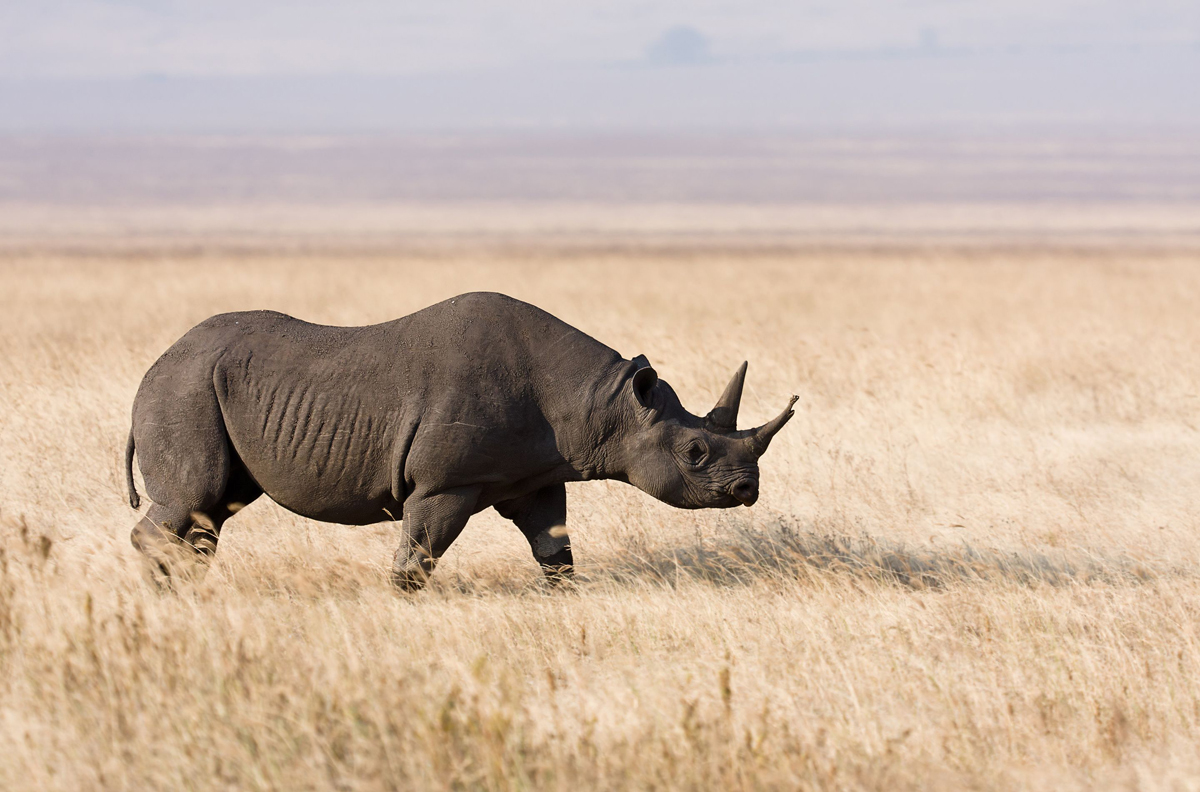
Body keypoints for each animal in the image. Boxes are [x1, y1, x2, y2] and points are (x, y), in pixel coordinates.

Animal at [125, 292, 796, 588]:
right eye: (695, 453)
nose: (747, 489)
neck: (604, 403)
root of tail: (154, 365)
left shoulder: (535, 475)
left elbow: (556, 551)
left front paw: (562, 599)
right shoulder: (446, 483)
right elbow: (417, 558)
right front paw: (402, 603)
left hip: (200, 387)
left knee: (214, 509)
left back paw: (186, 589)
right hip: (184, 389)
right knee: (196, 496)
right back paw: (167, 591)